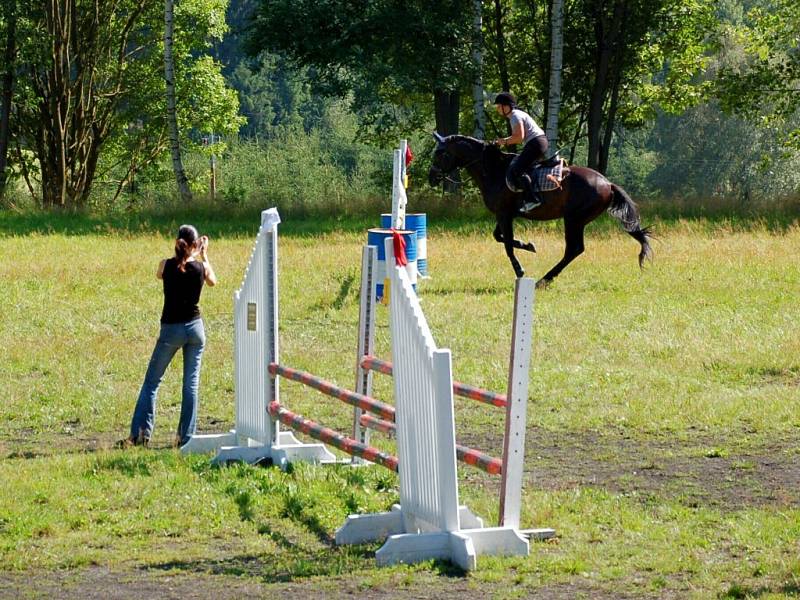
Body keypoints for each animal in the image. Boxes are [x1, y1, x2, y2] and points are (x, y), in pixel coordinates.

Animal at [428, 134, 652, 288]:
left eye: (440, 153)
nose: (432, 178)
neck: (493, 171)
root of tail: (608, 184)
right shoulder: (506, 214)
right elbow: (500, 237)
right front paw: (528, 245)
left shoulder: (504, 214)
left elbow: (507, 245)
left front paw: (520, 270)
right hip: (576, 220)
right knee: (575, 250)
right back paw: (546, 278)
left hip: (573, 219)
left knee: (574, 249)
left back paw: (544, 280)